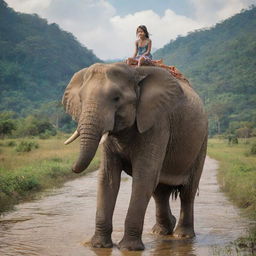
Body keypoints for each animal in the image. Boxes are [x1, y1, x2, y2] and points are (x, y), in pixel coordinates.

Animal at [62, 62, 208, 250]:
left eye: (116, 98)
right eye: (80, 99)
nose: (71, 168)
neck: (134, 72)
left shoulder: (157, 123)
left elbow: (143, 176)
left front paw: (129, 248)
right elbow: (108, 178)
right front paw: (98, 246)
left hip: (202, 140)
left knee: (187, 191)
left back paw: (182, 235)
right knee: (159, 191)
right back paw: (161, 231)